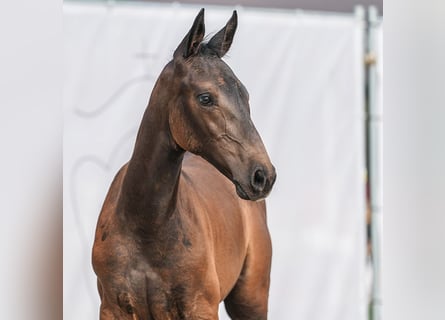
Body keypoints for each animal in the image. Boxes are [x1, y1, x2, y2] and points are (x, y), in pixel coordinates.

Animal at [92, 8, 276, 318]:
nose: (263, 175)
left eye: (246, 95)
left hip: (251, 297)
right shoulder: (112, 308)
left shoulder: (200, 306)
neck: (146, 226)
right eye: (205, 97)